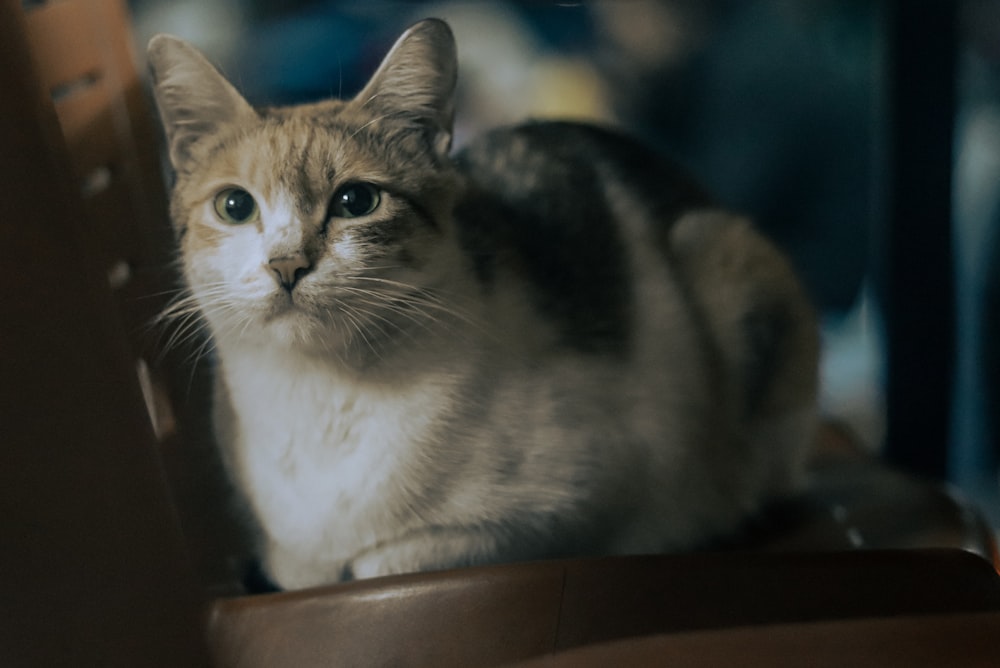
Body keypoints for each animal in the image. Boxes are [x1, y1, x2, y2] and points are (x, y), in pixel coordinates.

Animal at [150, 17, 820, 588]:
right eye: (235, 206)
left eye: (356, 201)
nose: (287, 263)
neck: (320, 397)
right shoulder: (290, 558)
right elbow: (299, 568)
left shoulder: (586, 501)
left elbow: (389, 559)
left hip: (719, 253)